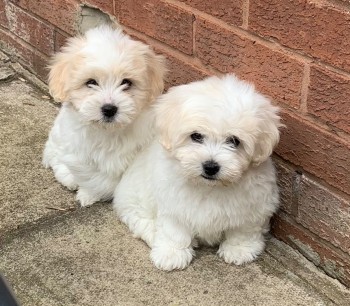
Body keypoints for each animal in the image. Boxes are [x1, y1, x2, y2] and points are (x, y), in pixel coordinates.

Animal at [42, 25, 165, 207]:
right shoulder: (81, 150)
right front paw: (88, 195)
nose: (109, 109)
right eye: (91, 82)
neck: (109, 131)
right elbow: (93, 176)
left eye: (126, 82)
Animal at [113, 74, 284, 270]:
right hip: (133, 199)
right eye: (196, 136)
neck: (208, 186)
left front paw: (240, 249)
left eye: (234, 141)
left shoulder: (255, 203)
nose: (210, 166)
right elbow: (174, 229)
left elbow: (245, 228)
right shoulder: (173, 203)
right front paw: (172, 253)